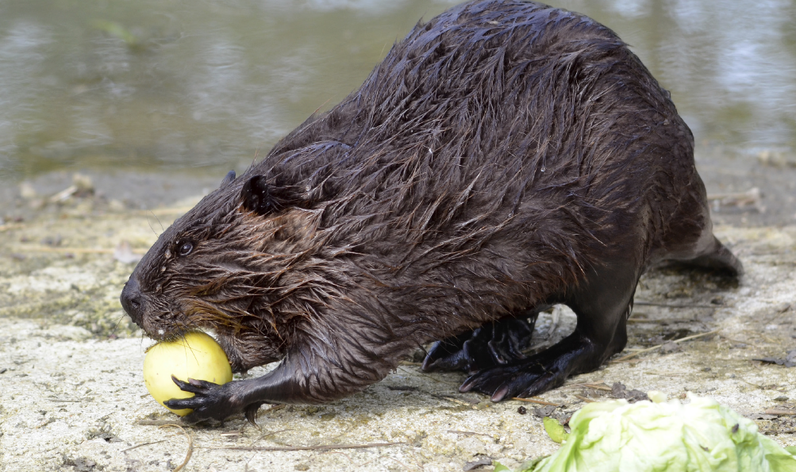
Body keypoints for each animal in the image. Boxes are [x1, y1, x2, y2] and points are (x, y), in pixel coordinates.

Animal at [118, 0, 740, 422]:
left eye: (184, 246)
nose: (129, 299)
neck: (350, 200)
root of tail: (694, 206)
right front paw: (229, 355)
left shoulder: (371, 277)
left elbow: (341, 363)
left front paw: (216, 396)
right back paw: (466, 346)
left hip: (616, 236)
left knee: (603, 336)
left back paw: (512, 372)